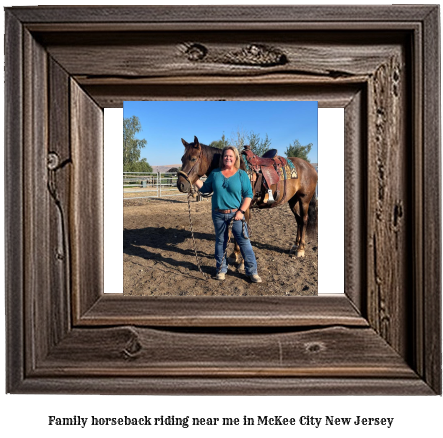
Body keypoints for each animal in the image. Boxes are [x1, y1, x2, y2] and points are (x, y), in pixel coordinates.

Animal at [178, 135, 320, 264]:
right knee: (298, 220)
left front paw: (237, 256)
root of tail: (310, 167)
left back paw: (301, 249)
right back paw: (295, 245)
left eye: (193, 158)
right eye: (182, 158)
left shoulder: (242, 208)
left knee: (304, 220)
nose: (181, 185)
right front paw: (235, 255)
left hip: (304, 200)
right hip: (293, 200)